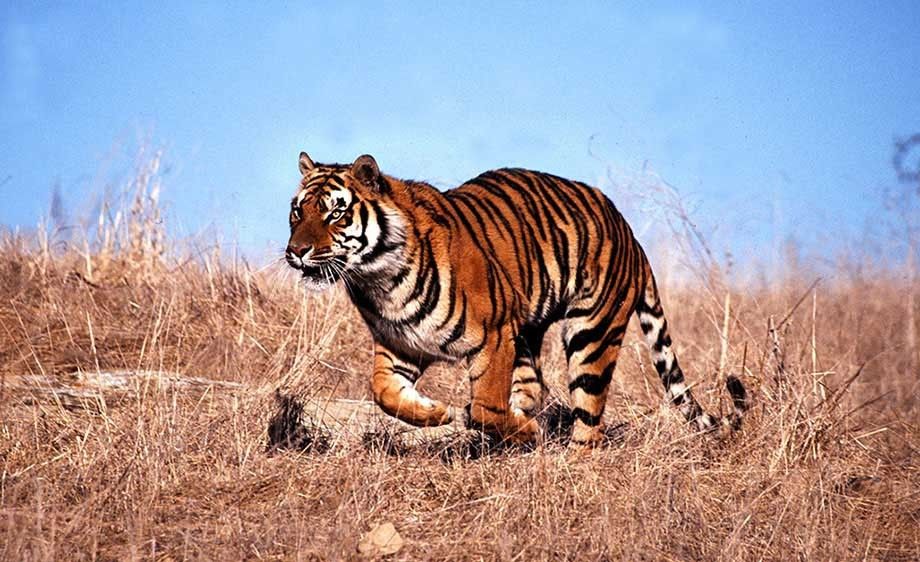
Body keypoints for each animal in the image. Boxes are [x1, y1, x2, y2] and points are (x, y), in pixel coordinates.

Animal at [285, 152, 748, 446]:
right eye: (297, 212)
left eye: (336, 213)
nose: (296, 251)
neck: (380, 281)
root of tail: (630, 233)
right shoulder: (400, 344)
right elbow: (384, 392)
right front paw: (435, 412)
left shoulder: (492, 334)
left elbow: (486, 407)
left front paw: (512, 428)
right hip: (527, 335)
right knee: (536, 388)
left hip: (591, 334)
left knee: (589, 423)